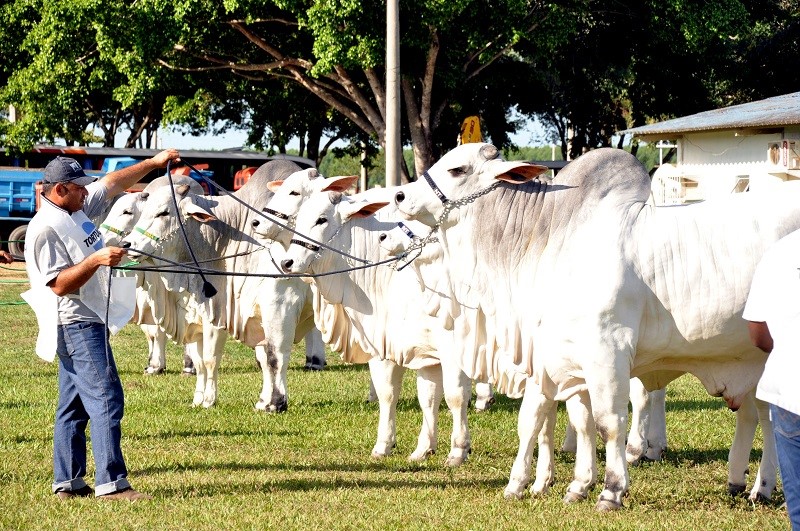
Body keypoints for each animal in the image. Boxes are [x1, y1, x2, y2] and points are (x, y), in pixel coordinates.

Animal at [119, 160, 324, 410]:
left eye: (163, 212)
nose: (127, 244)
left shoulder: (278, 307)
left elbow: (271, 356)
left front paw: (274, 403)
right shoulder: (204, 315)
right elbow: (205, 360)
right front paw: (203, 399)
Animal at [390, 144, 792, 512]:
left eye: (456, 169)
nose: (399, 195)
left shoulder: (606, 351)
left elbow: (608, 422)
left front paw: (611, 491)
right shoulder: (564, 358)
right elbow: (575, 422)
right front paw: (575, 485)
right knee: (763, 416)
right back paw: (755, 486)